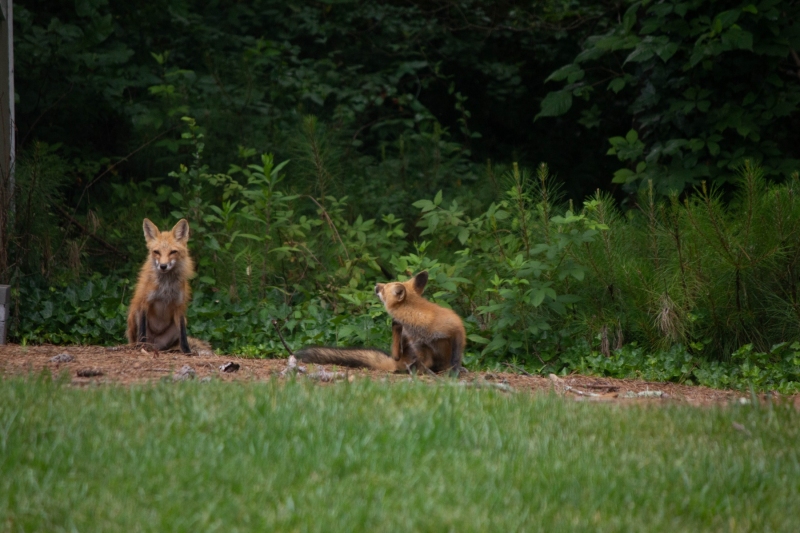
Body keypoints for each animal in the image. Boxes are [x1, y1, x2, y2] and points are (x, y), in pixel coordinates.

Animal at [126, 218, 210, 355]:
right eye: (156, 252)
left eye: (173, 252)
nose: (163, 266)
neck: (166, 286)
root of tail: (154, 345)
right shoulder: (144, 303)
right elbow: (142, 331)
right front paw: (142, 348)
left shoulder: (179, 307)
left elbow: (183, 334)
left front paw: (187, 351)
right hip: (134, 314)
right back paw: (141, 346)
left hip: (178, 326)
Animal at [296, 271, 466, 374]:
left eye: (384, 289)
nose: (376, 285)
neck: (419, 322)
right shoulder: (419, 346)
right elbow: (422, 363)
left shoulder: (456, 329)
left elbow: (456, 357)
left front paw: (454, 371)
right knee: (399, 359)